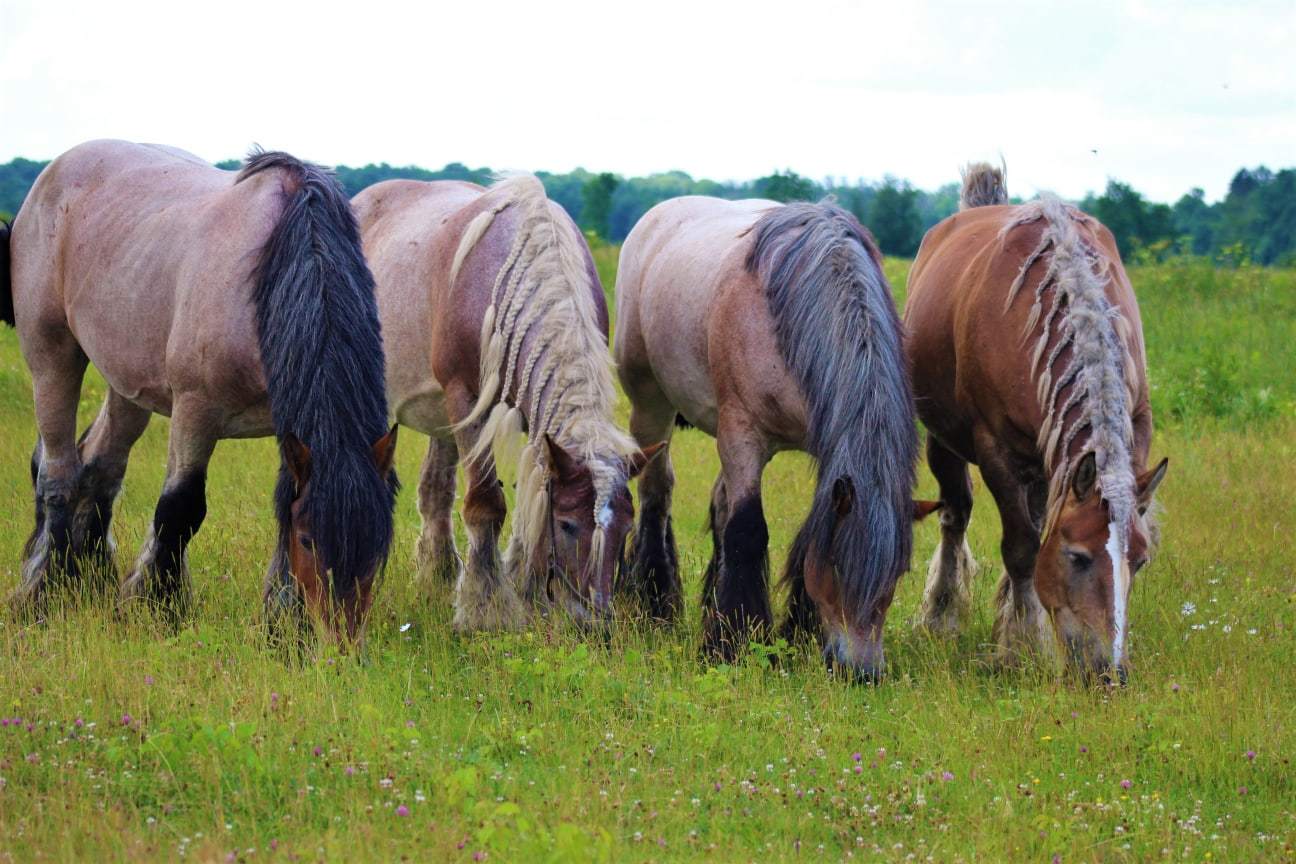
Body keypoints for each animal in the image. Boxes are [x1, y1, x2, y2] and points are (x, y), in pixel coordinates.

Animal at [1, 138, 399, 645]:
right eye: (310, 539)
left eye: (379, 542)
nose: (341, 642)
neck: (266, 273)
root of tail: (51, 175)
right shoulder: (196, 410)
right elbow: (180, 509)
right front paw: (159, 609)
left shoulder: (286, 425)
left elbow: (281, 503)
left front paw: (282, 627)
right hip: (52, 355)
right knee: (56, 474)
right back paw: (47, 591)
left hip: (126, 383)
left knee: (98, 465)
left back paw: (89, 579)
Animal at [352, 177, 663, 634]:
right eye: (568, 525)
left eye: (626, 528)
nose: (595, 623)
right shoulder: (466, 402)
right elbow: (486, 505)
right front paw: (486, 607)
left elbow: (527, 508)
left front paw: (525, 590)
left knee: (435, 492)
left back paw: (438, 575)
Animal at [611, 198, 938, 683]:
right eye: (839, 566)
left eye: (899, 572)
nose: (861, 672)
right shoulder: (742, 435)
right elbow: (748, 530)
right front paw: (732, 644)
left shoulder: (824, 450)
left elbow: (799, 533)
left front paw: (793, 633)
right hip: (650, 403)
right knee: (657, 491)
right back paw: (656, 606)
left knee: (717, 503)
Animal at [907, 161, 1171, 683]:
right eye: (1077, 557)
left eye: (1141, 560)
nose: (1108, 671)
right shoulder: (996, 450)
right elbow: (1023, 547)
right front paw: (1023, 645)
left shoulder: (1134, 429)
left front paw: (1018, 626)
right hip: (943, 441)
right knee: (955, 513)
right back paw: (941, 614)